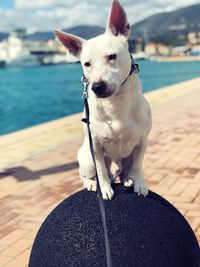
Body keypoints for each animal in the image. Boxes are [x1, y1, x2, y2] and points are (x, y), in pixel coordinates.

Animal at [54, 0, 152, 200]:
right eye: (86, 64)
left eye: (112, 56)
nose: (97, 87)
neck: (115, 104)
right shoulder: (97, 149)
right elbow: (101, 172)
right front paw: (105, 189)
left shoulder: (142, 142)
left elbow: (138, 166)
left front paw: (140, 184)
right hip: (87, 158)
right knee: (90, 175)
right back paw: (93, 184)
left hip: (125, 156)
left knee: (124, 170)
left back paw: (128, 179)